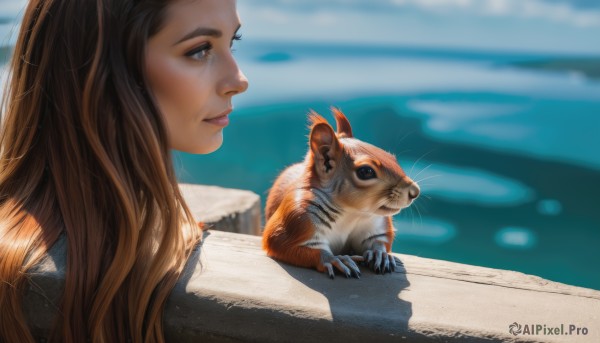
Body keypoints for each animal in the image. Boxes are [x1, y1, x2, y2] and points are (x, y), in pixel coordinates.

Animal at [262, 107, 422, 280]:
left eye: (392, 158)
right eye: (365, 171)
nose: (415, 191)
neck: (351, 213)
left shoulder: (376, 225)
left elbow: (378, 240)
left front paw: (379, 253)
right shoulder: (296, 221)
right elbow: (283, 244)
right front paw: (335, 260)